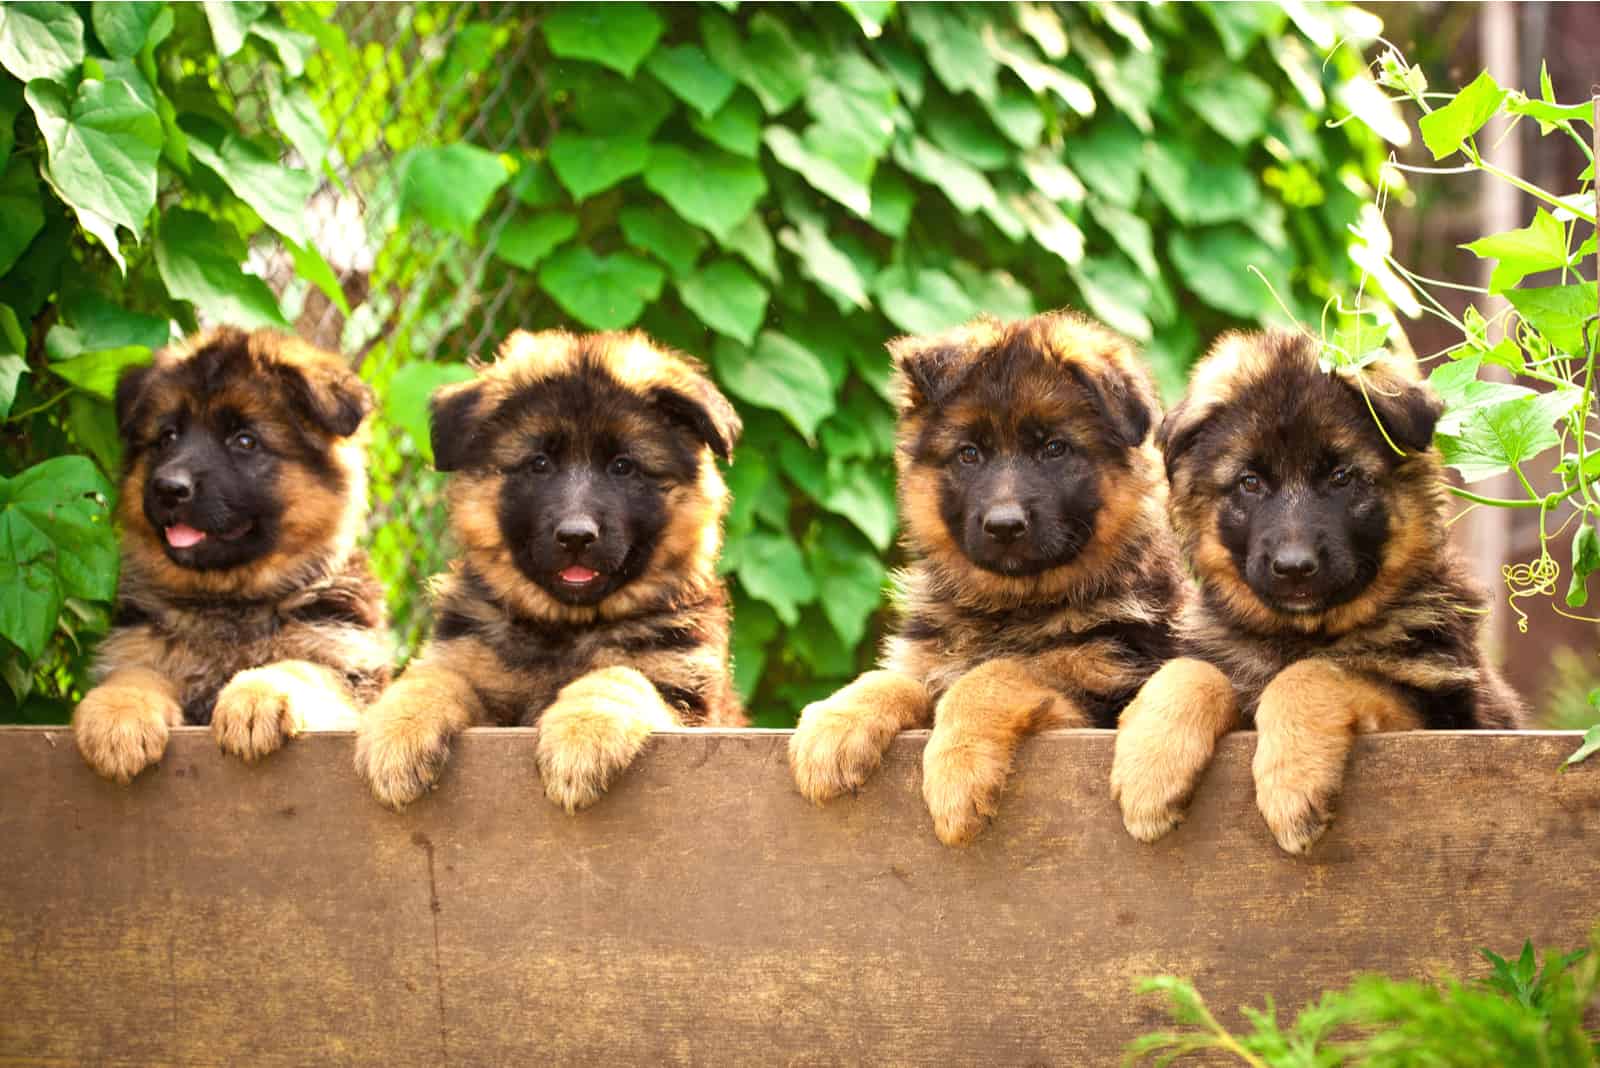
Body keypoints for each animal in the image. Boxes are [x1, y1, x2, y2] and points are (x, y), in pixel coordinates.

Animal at [72, 326, 390, 783]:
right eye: (167, 438)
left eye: (244, 441)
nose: (168, 488)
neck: (228, 601)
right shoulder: (139, 649)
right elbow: (134, 673)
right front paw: (116, 716)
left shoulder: (349, 672)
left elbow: (301, 666)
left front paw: (257, 698)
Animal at [356, 329, 742, 812]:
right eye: (539, 464)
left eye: (623, 467)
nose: (576, 536)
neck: (566, 630)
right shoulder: (471, 669)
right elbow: (434, 676)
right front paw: (397, 730)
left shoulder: (687, 707)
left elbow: (619, 675)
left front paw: (581, 736)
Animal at [790, 313, 1190, 844]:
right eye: (969, 454)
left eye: (1054, 449)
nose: (1004, 526)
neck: (1009, 605)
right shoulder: (929, 662)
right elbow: (892, 679)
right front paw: (836, 721)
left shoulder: (1098, 697)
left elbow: (997, 673)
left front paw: (956, 772)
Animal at [1113, 329, 1523, 856]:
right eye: (1250, 483)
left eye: (1341, 477)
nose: (1294, 568)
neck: (1300, 633)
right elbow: (1191, 670)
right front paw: (1148, 769)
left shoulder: (1445, 717)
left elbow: (1319, 673)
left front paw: (1291, 785)